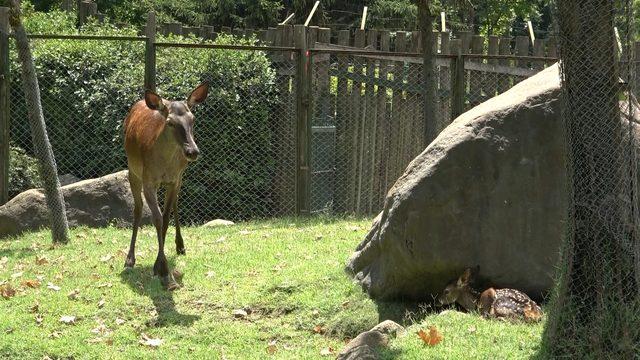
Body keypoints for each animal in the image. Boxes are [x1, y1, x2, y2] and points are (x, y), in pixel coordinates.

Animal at [122, 82, 208, 290]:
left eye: (193, 119)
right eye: (170, 122)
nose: (192, 151)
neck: (164, 164)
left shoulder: (174, 179)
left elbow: (166, 218)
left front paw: (160, 267)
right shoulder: (148, 180)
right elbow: (157, 218)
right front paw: (164, 273)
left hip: (179, 178)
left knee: (176, 204)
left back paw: (180, 245)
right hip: (132, 170)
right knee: (137, 209)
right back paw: (129, 259)